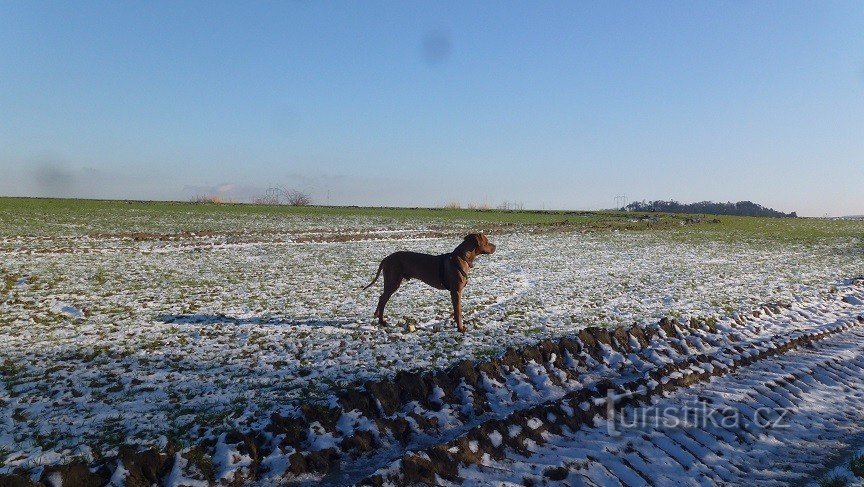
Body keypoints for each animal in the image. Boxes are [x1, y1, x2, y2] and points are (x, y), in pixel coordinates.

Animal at [363, 233, 496, 332]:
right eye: (487, 241)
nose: (495, 246)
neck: (462, 257)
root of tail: (386, 258)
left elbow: (455, 311)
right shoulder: (456, 291)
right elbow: (458, 311)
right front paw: (460, 328)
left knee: (381, 298)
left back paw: (376, 315)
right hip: (393, 282)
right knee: (382, 299)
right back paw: (382, 321)